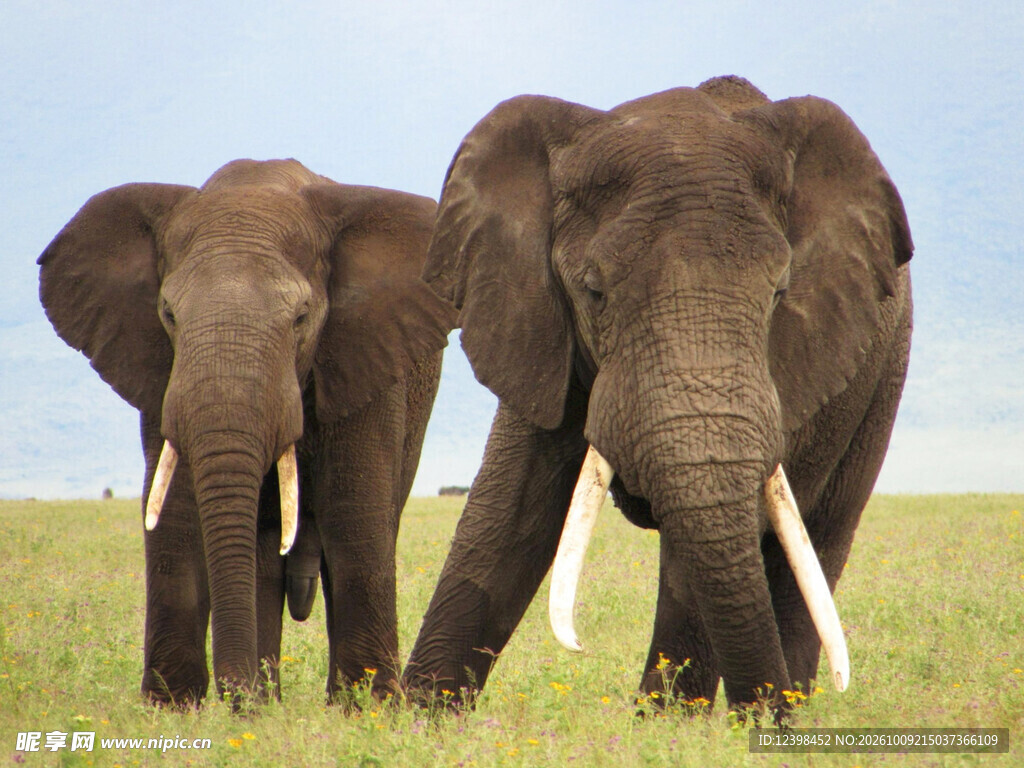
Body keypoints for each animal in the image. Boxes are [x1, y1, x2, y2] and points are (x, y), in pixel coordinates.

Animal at [38, 159, 457, 705]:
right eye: (168, 314)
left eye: (301, 317)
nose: (234, 694)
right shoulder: (161, 377)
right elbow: (175, 515)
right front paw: (171, 708)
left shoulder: (366, 361)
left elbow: (354, 514)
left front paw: (368, 709)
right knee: (260, 554)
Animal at [402, 76, 913, 716]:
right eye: (593, 292)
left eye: (779, 294)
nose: (757, 715)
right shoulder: (534, 322)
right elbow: (506, 514)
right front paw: (417, 718)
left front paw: (665, 727)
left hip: (879, 384)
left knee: (813, 544)